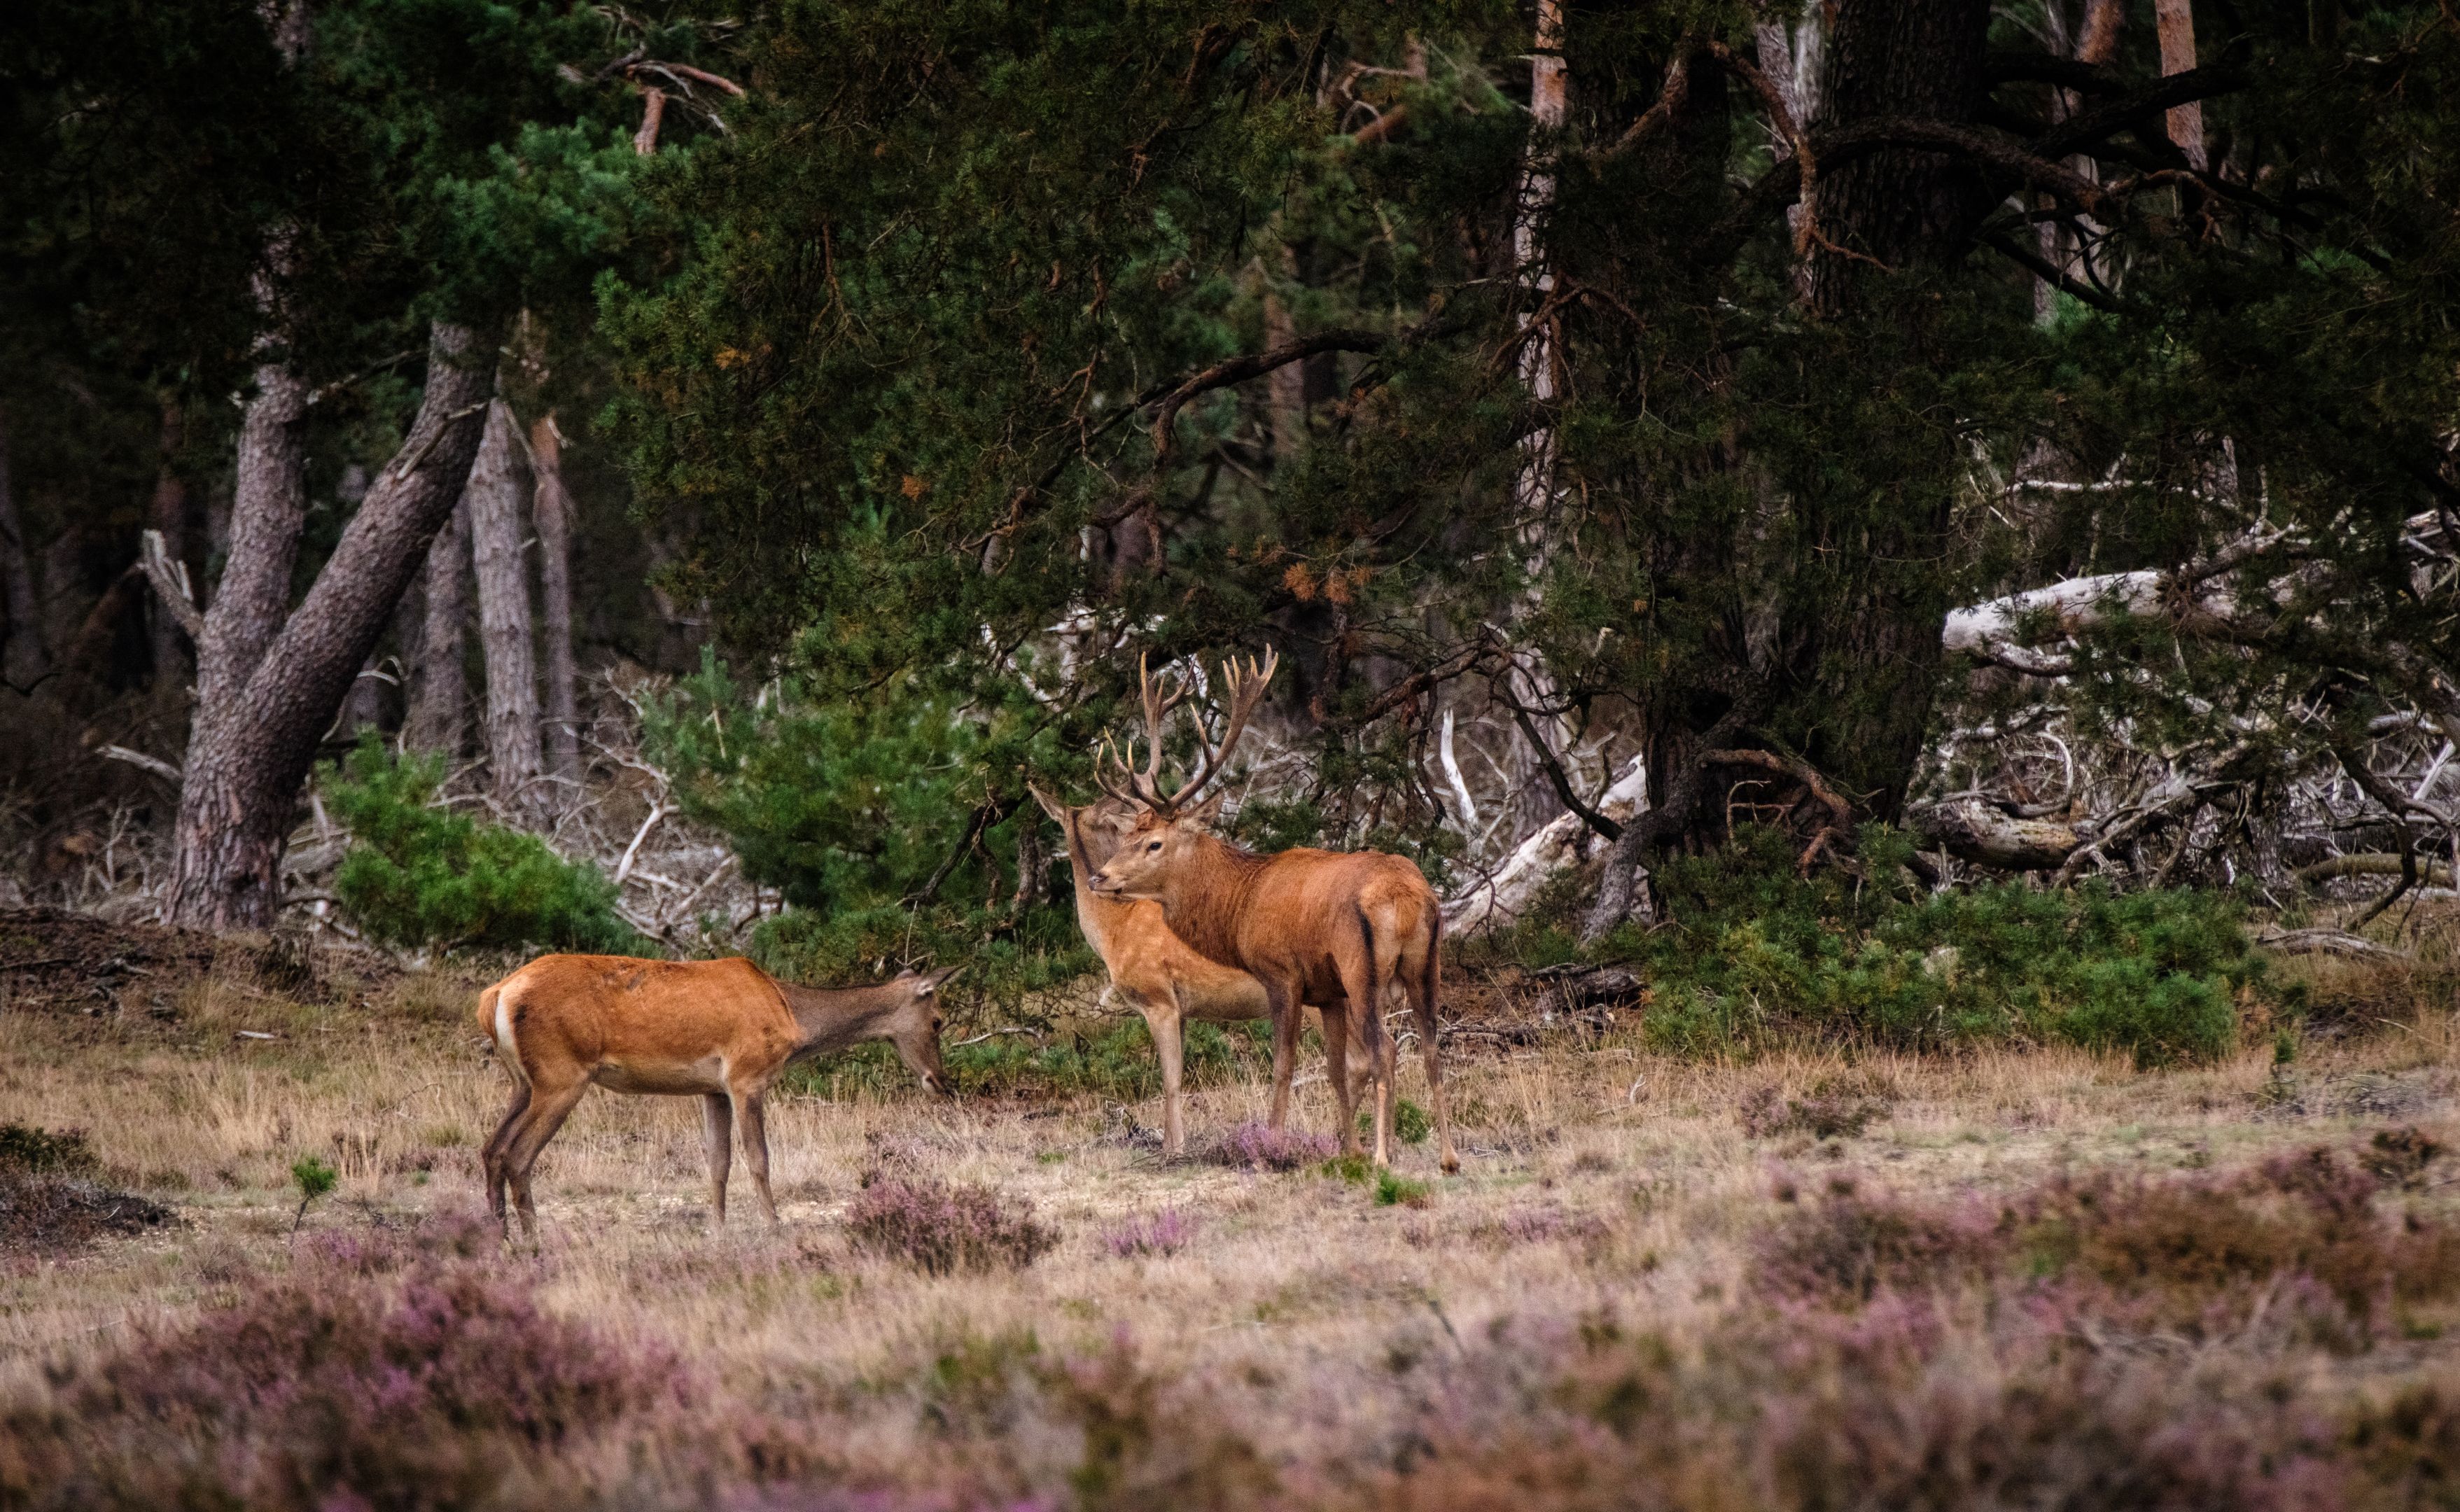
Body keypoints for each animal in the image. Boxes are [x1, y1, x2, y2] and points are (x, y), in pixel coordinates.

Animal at [475, 953, 955, 1237]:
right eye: (938, 1020)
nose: (942, 1082)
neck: (792, 1019)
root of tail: (494, 996)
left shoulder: (713, 1090)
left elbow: (718, 1164)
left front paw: (719, 1231)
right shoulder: (746, 1076)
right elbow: (759, 1158)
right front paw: (774, 1226)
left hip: (524, 1081)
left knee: (491, 1148)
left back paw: (500, 1237)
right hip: (562, 1075)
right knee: (518, 1155)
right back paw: (534, 1240)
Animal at [1083, 649, 1459, 1174]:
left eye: (1154, 843)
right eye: (1126, 836)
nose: (1099, 878)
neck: (1242, 903)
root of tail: (1406, 899)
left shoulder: (1283, 973)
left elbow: (1284, 1066)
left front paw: (1273, 1145)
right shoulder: (1327, 991)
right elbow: (1336, 1069)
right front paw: (1347, 1148)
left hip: (1362, 968)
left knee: (1386, 1048)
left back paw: (1385, 1158)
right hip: (1427, 965)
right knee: (1430, 1046)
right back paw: (1448, 1157)